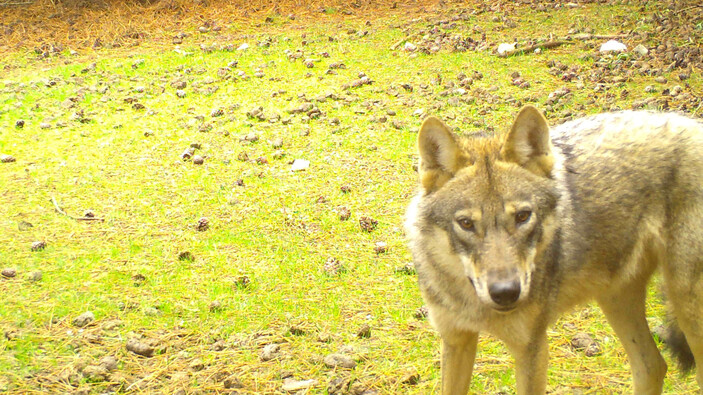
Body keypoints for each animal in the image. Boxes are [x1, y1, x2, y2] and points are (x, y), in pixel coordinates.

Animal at [404, 106, 703, 395]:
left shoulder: (532, 349)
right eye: (466, 223)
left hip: (688, 313)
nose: (506, 293)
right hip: (616, 297)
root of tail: (693, 124)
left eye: (523, 217)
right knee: (653, 366)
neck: (475, 305)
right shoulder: (456, 339)